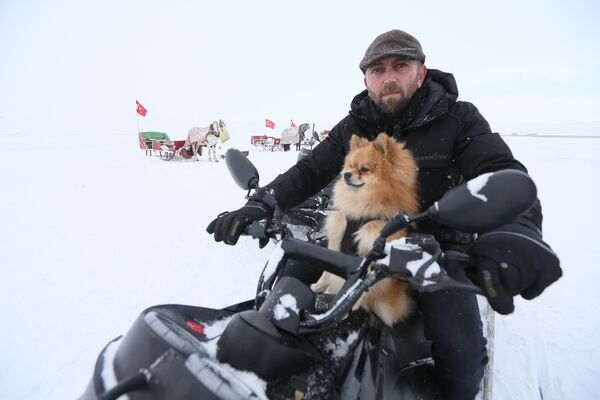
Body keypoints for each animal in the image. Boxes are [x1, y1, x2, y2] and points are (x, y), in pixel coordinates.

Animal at [312, 133, 420, 326]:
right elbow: (327, 270)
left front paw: (350, 303)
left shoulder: (373, 247)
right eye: (350, 166)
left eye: (364, 169)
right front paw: (320, 286)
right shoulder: (337, 236)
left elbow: (363, 282)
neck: (362, 207)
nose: (346, 174)